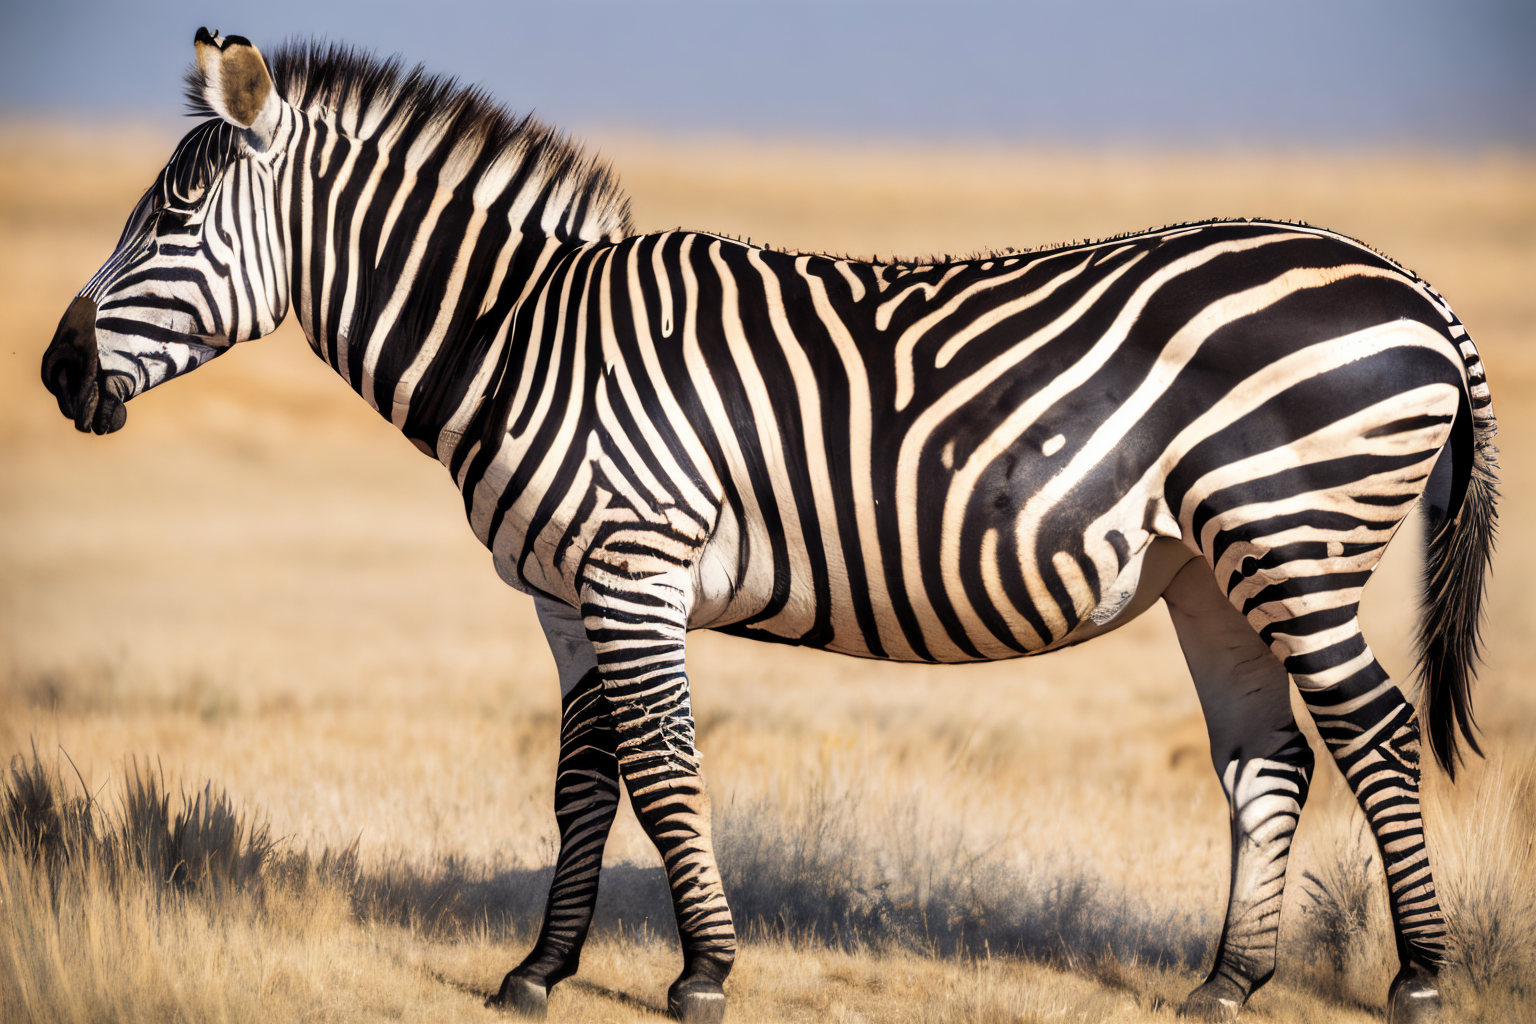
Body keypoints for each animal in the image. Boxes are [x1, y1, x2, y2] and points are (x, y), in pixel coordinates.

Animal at [40, 30, 1496, 1024]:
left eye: (170, 218)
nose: (54, 375)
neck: (516, 337)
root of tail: (1415, 283)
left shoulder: (633, 565)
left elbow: (666, 767)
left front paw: (702, 970)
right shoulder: (568, 593)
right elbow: (585, 778)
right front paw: (539, 968)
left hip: (1293, 534)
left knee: (1374, 729)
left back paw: (1419, 974)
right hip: (1210, 567)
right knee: (1270, 759)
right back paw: (1227, 982)